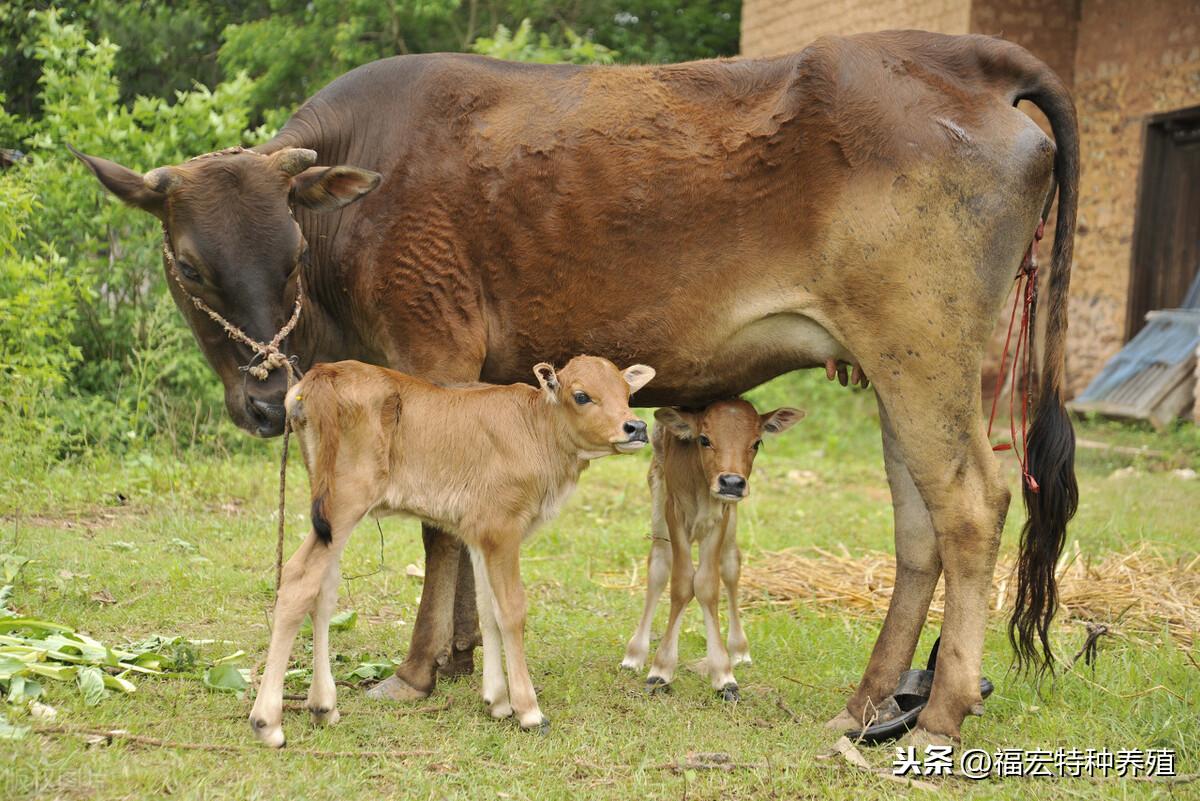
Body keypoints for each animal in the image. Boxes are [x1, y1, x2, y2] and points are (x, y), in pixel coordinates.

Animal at [247, 357, 652, 743]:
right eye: (581, 395)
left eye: (626, 392)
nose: (636, 427)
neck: (537, 430)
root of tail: (324, 374)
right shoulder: (503, 528)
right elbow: (511, 611)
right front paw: (528, 710)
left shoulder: (478, 533)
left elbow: (487, 610)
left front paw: (497, 701)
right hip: (347, 500)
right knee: (299, 578)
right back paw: (267, 721)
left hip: (329, 508)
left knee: (324, 590)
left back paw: (323, 706)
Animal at [619, 400, 806, 700]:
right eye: (704, 439)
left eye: (757, 442)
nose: (731, 482)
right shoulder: (674, 512)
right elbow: (682, 583)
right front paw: (660, 670)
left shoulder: (722, 517)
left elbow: (707, 584)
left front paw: (724, 674)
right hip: (658, 496)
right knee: (658, 565)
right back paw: (635, 653)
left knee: (730, 565)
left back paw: (739, 649)